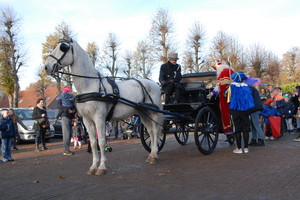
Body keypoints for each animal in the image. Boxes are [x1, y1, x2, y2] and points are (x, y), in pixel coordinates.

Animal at [44, 38, 164, 175]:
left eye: (63, 48)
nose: (46, 66)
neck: (90, 85)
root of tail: (155, 84)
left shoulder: (99, 118)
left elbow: (101, 142)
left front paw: (101, 167)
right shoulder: (87, 120)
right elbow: (93, 143)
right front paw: (93, 166)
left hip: (153, 113)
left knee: (155, 131)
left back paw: (154, 155)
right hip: (143, 113)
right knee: (150, 132)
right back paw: (151, 155)